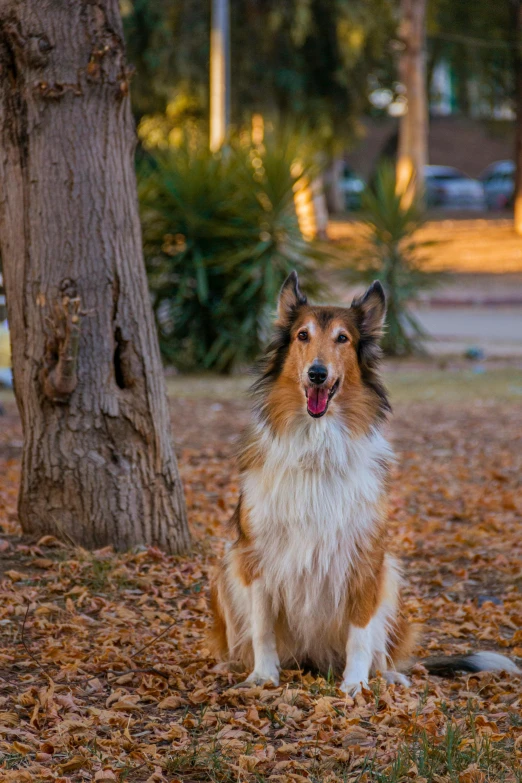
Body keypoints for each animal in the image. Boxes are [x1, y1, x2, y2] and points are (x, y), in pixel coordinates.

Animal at [207, 274, 516, 692]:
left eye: (342, 338)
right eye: (302, 335)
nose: (317, 373)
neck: (317, 444)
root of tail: (312, 659)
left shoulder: (364, 555)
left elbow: (360, 633)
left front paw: (355, 685)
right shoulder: (256, 553)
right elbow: (262, 626)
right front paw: (263, 675)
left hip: (390, 576)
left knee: (381, 649)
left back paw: (388, 676)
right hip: (226, 569)